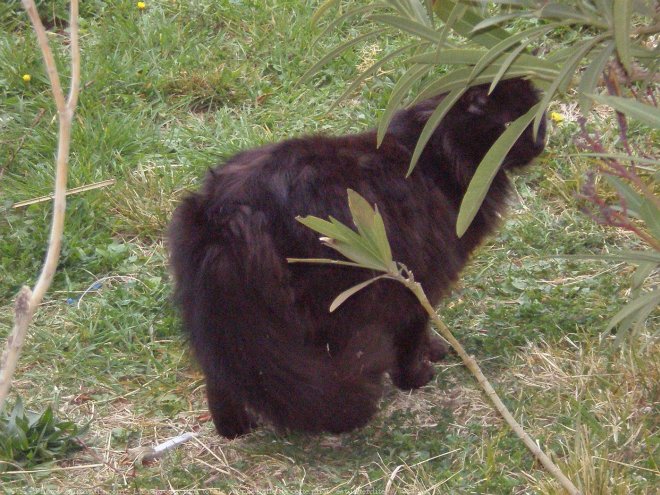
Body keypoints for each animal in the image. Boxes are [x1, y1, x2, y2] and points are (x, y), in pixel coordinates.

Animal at [169, 79, 548, 440]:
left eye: (538, 117)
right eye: (513, 123)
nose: (542, 141)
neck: (435, 155)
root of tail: (225, 212)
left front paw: (433, 350)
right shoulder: (417, 278)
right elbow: (413, 333)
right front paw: (416, 376)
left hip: (227, 319)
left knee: (219, 373)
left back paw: (233, 429)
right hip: (326, 304)